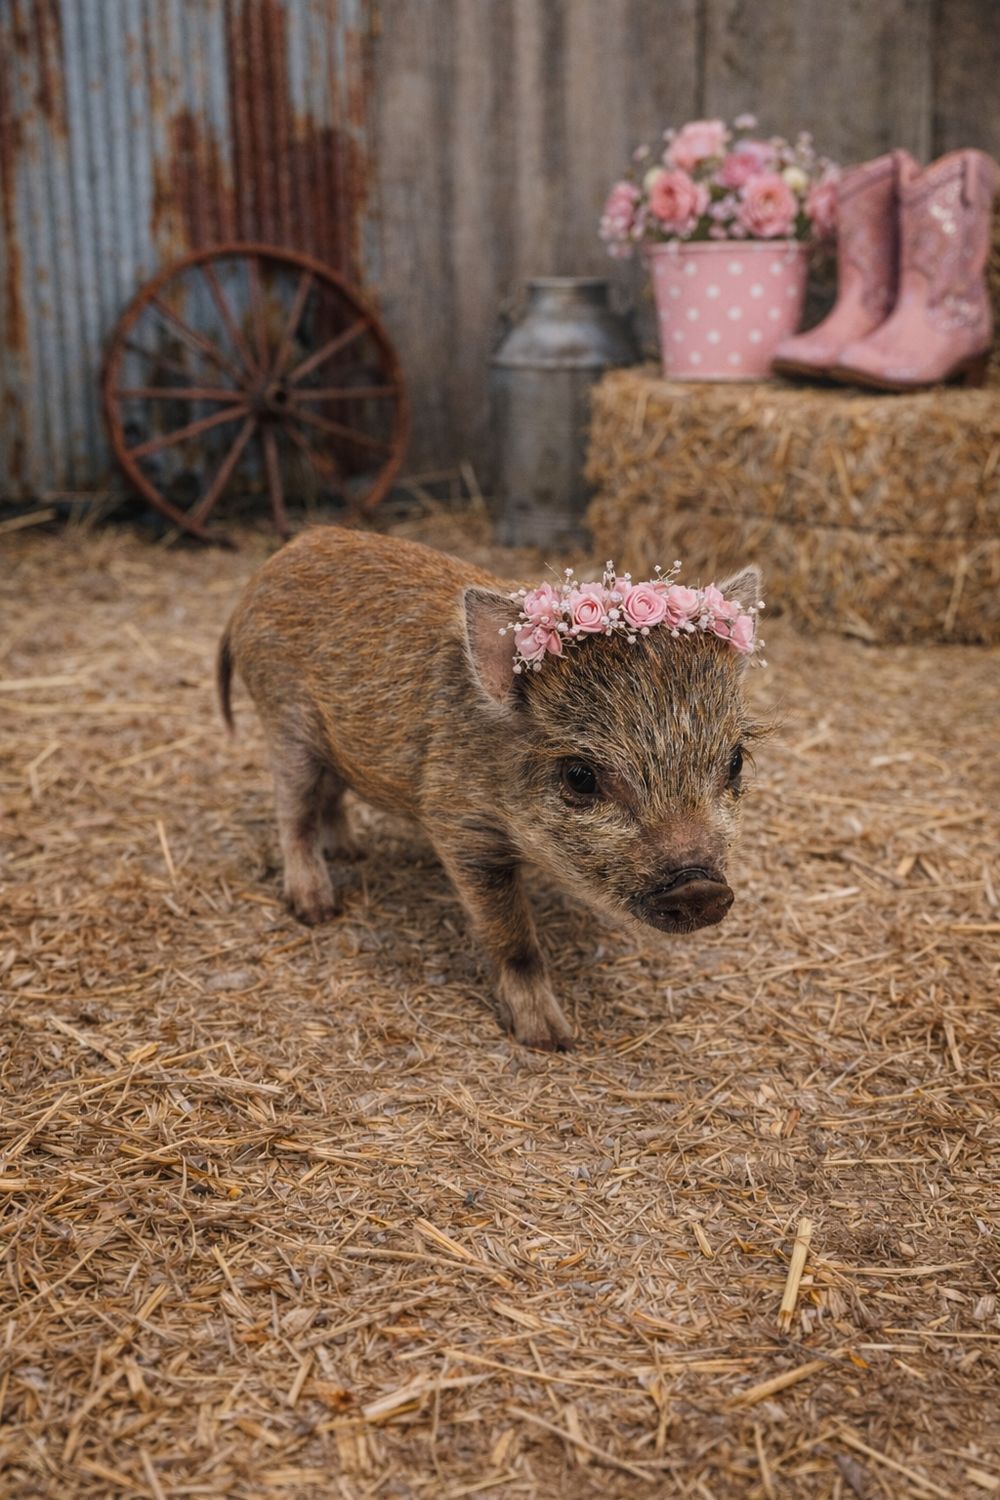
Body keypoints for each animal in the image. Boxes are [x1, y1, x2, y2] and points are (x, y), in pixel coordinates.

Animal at [218, 527, 763, 1050]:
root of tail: (265, 571)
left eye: (735, 761)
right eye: (580, 776)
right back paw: (317, 909)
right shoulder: (458, 826)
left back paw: (352, 852)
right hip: (284, 720)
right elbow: (512, 937)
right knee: (294, 813)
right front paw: (552, 1040)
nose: (700, 886)